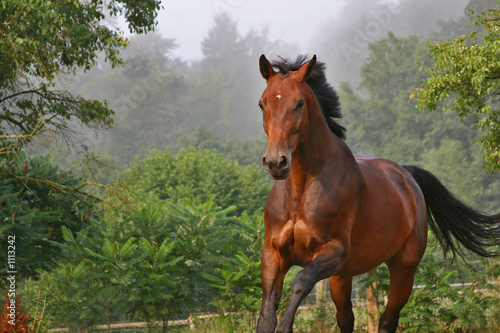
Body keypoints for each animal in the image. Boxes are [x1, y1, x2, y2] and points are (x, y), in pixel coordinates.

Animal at [258, 55, 500, 332]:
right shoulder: (273, 254)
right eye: (262, 104)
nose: (276, 162)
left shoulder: (334, 251)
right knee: (346, 318)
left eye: (299, 103)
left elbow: (300, 281)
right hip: (343, 275)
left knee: (388, 318)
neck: (301, 191)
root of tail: (407, 175)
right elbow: (267, 311)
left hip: (403, 270)